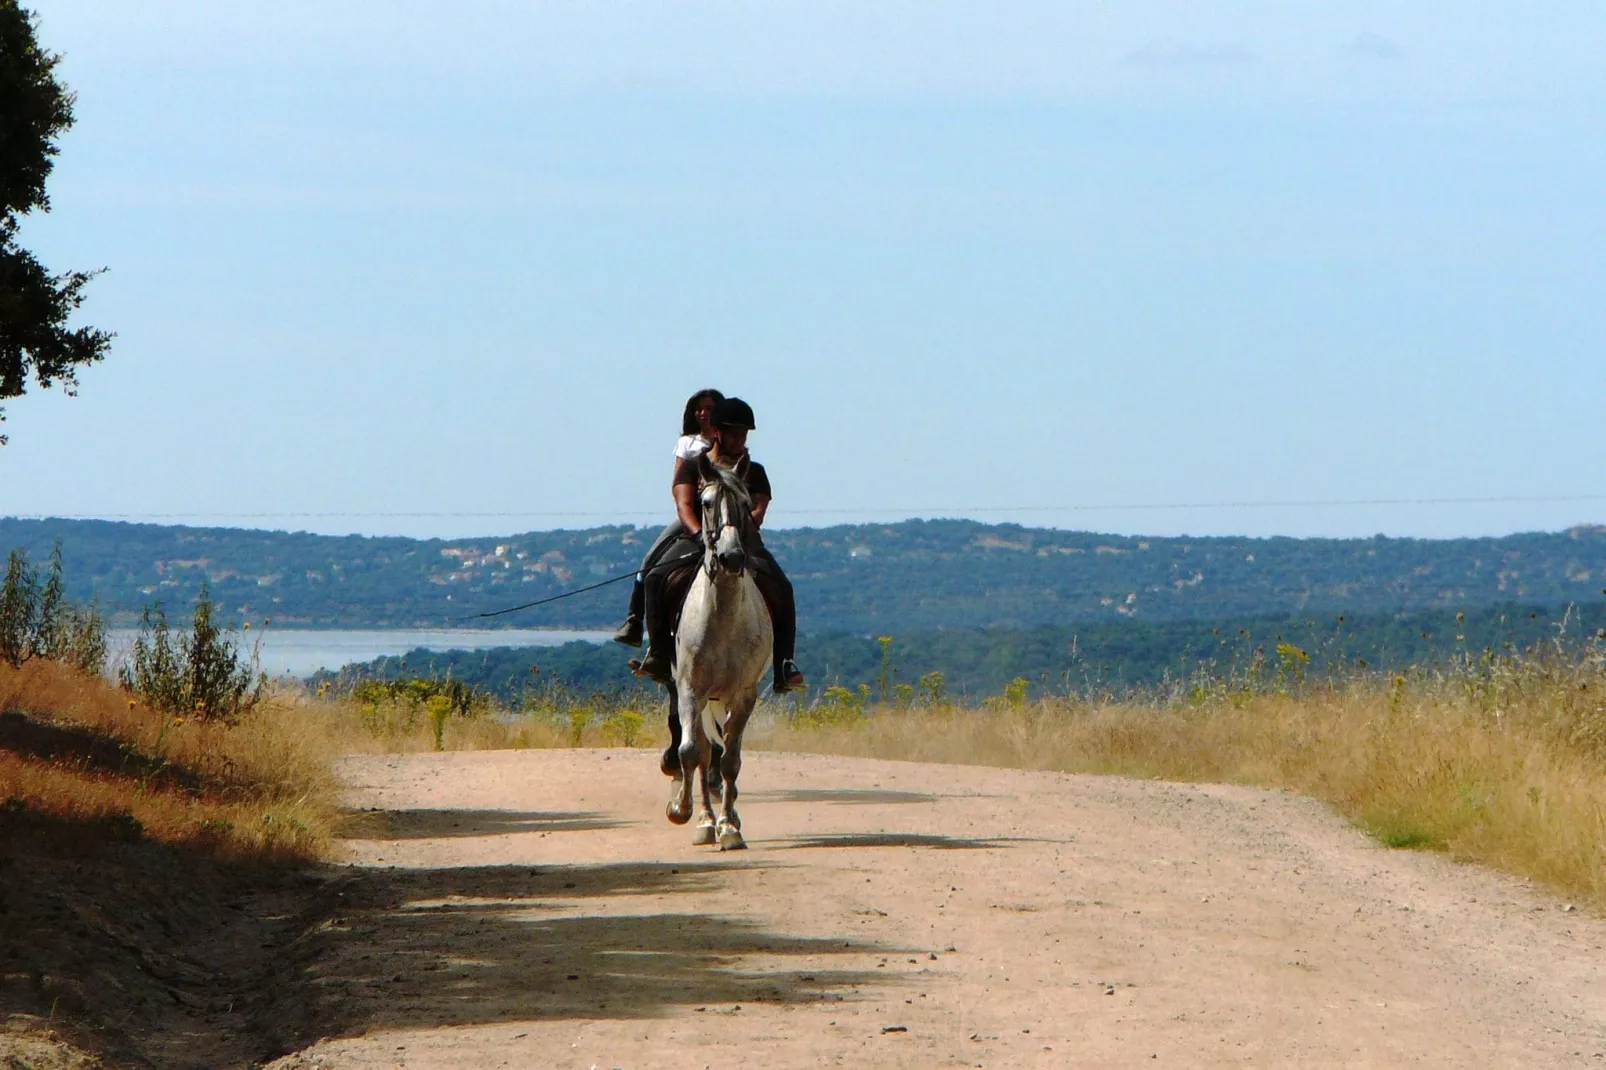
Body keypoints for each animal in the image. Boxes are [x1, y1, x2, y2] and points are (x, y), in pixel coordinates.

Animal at [658, 453, 770, 848]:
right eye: (705, 503)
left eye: (746, 504)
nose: (731, 557)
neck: (722, 617)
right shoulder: (691, 690)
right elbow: (693, 752)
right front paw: (687, 814)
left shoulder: (744, 695)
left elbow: (731, 761)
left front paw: (729, 828)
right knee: (704, 752)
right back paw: (704, 819)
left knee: (722, 755)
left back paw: (728, 817)